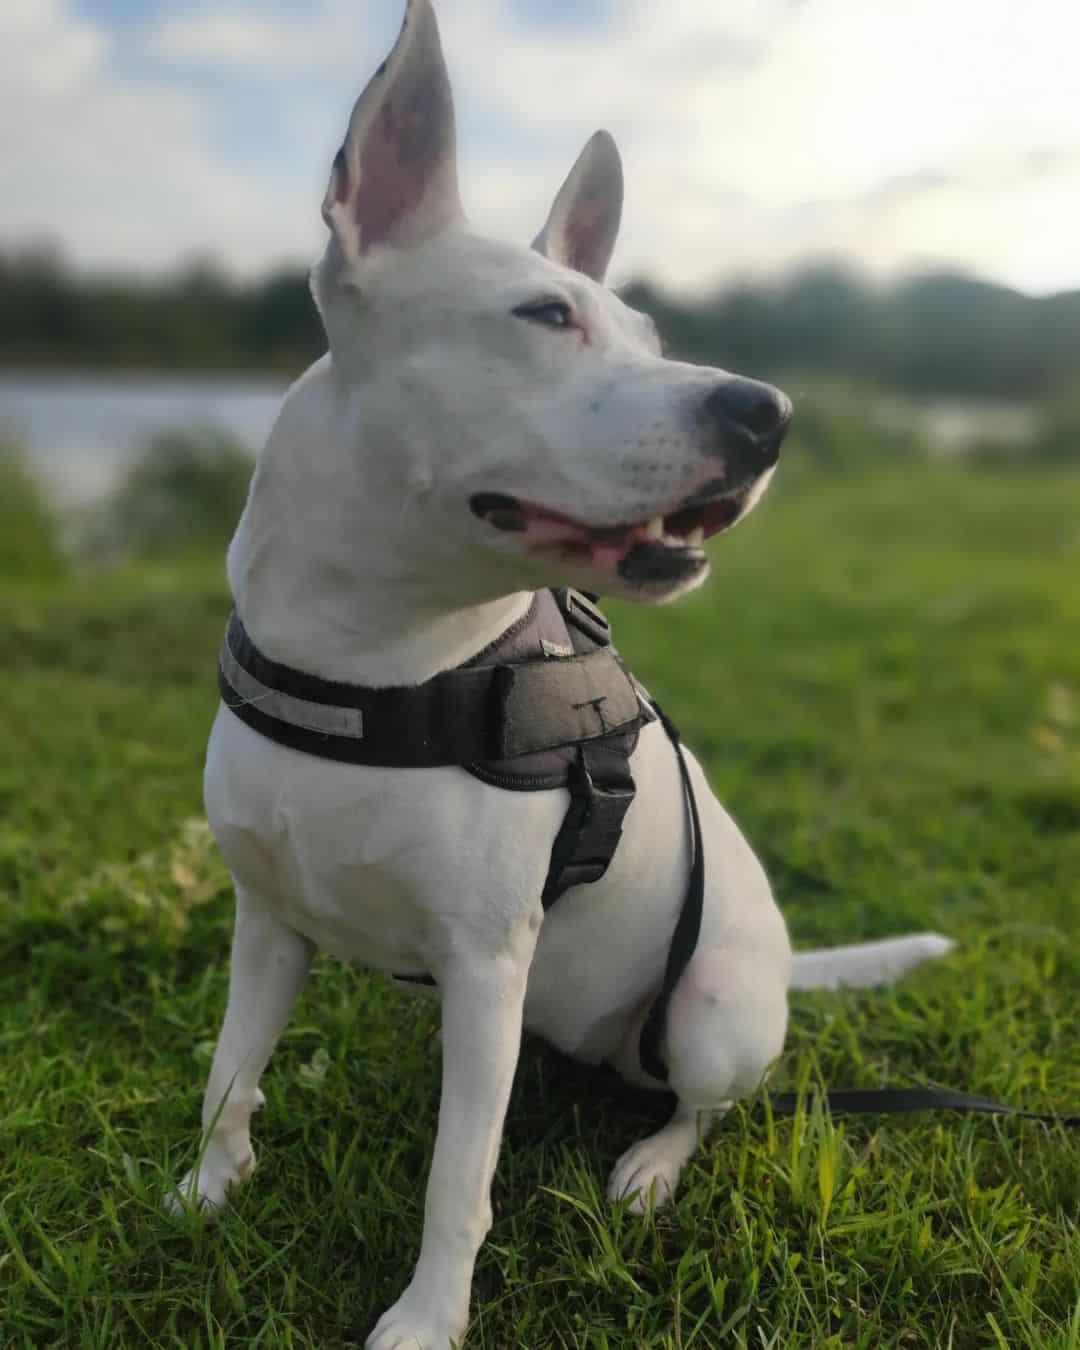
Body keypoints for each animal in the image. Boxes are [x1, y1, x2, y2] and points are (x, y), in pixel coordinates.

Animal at [172, 5, 950, 1344]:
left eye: (650, 337)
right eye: (545, 316)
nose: (769, 416)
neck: (372, 666)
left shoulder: (485, 962)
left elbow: (455, 1179)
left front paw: (426, 1320)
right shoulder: (267, 922)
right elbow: (233, 1074)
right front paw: (206, 1193)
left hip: (707, 1015)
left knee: (703, 1105)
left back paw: (650, 1165)